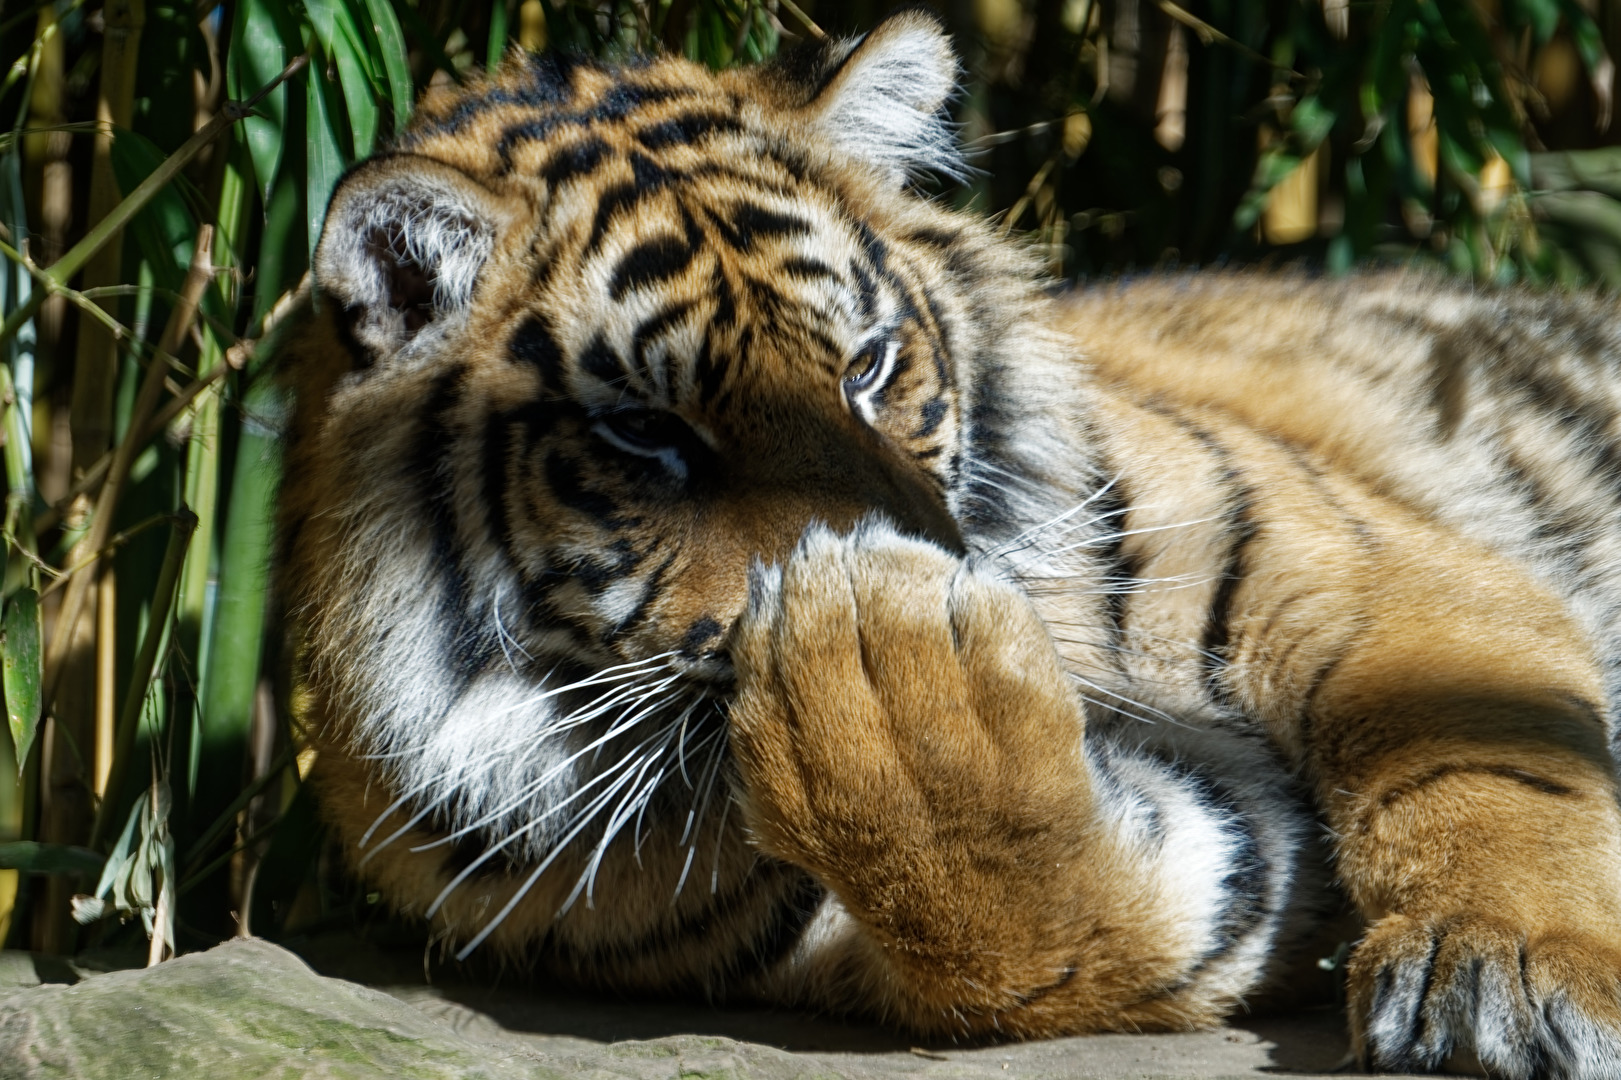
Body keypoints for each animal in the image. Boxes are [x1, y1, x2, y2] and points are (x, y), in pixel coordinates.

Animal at [273, 8, 1621, 1077]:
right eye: (648, 431)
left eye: (867, 367)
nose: (928, 559)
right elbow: (1028, 924)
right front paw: (894, 687)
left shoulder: (1359, 569)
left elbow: (1492, 762)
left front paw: (1513, 971)